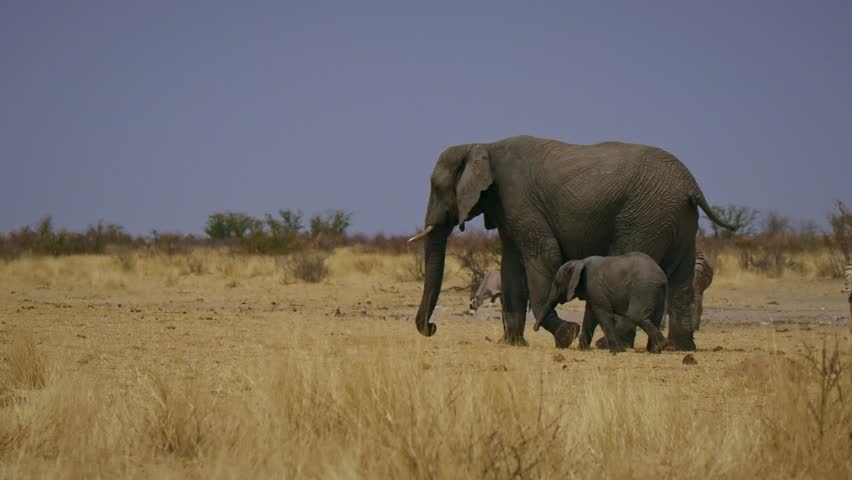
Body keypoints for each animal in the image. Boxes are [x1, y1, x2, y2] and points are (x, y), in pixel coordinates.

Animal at [536, 253, 669, 353]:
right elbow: (590, 316)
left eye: (556, 284)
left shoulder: (594, 286)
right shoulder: (591, 291)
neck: (579, 262)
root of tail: (662, 277)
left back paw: (662, 345)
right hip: (656, 292)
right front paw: (583, 349)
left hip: (643, 289)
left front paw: (617, 351)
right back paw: (655, 350)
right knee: (655, 318)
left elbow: (601, 314)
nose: (534, 329)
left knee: (637, 316)